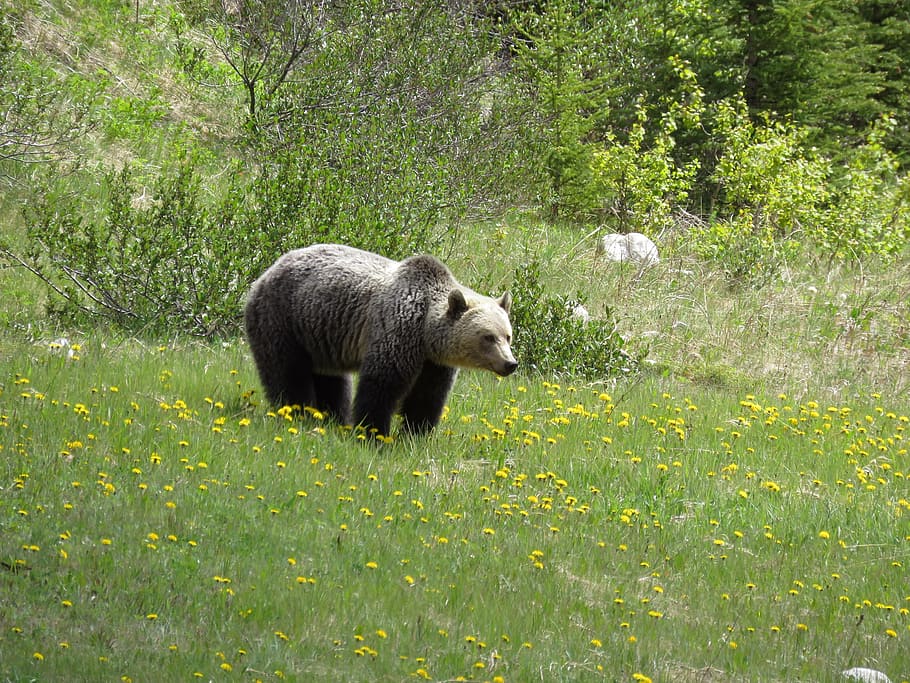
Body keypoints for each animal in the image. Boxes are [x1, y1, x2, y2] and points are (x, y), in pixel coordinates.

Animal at [243, 243, 518, 437]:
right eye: (488, 337)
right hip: (282, 318)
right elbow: (382, 385)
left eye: (508, 336)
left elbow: (427, 396)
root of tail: (265, 273)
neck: (426, 334)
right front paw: (373, 432)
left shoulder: (435, 363)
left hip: (321, 337)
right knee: (287, 372)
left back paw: (332, 417)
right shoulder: (398, 329)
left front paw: (416, 434)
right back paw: (297, 412)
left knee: (332, 381)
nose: (510, 363)